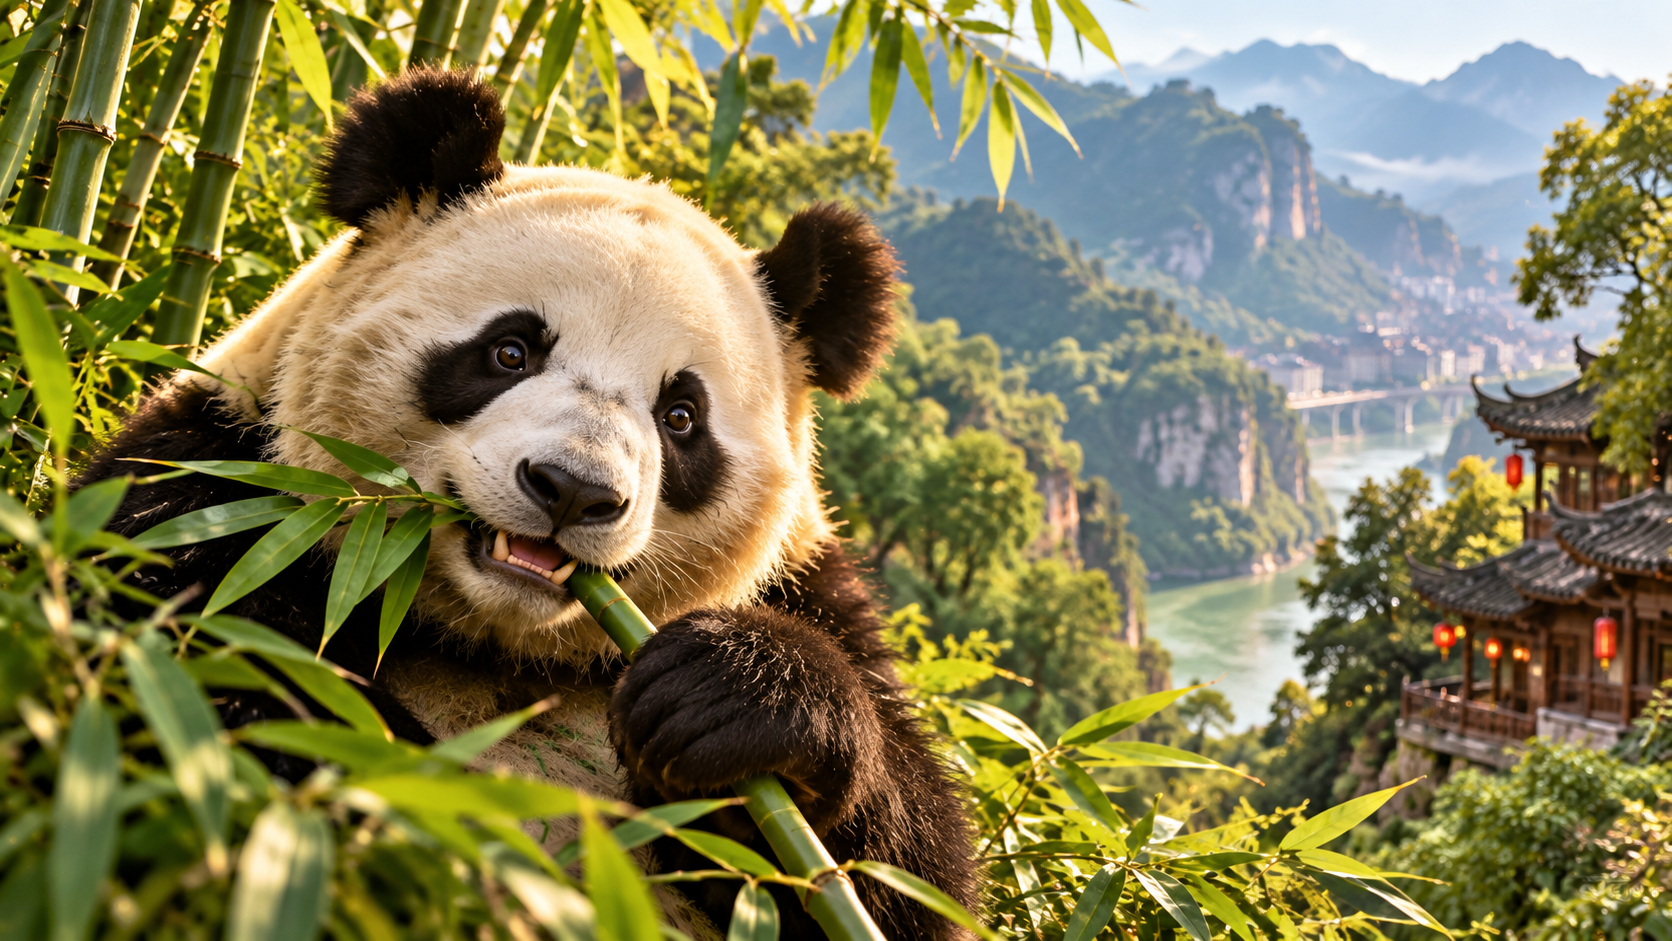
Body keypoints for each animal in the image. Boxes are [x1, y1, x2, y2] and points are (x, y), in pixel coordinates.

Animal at [79, 69, 979, 939]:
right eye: (510, 351)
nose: (574, 488)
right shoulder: (225, 493)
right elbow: (231, 699)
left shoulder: (809, 589)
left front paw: (728, 691)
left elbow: (906, 875)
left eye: (681, 416)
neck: (501, 645)